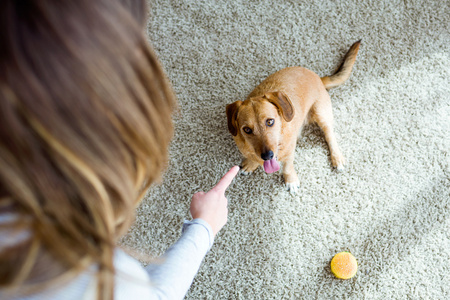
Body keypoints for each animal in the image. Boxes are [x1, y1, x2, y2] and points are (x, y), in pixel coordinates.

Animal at [227, 41, 360, 193]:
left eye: (270, 121)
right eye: (247, 130)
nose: (267, 156)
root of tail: (319, 78)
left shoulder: (289, 152)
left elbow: (287, 167)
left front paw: (291, 180)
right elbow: (253, 158)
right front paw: (251, 163)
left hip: (322, 114)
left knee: (330, 135)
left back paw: (337, 158)